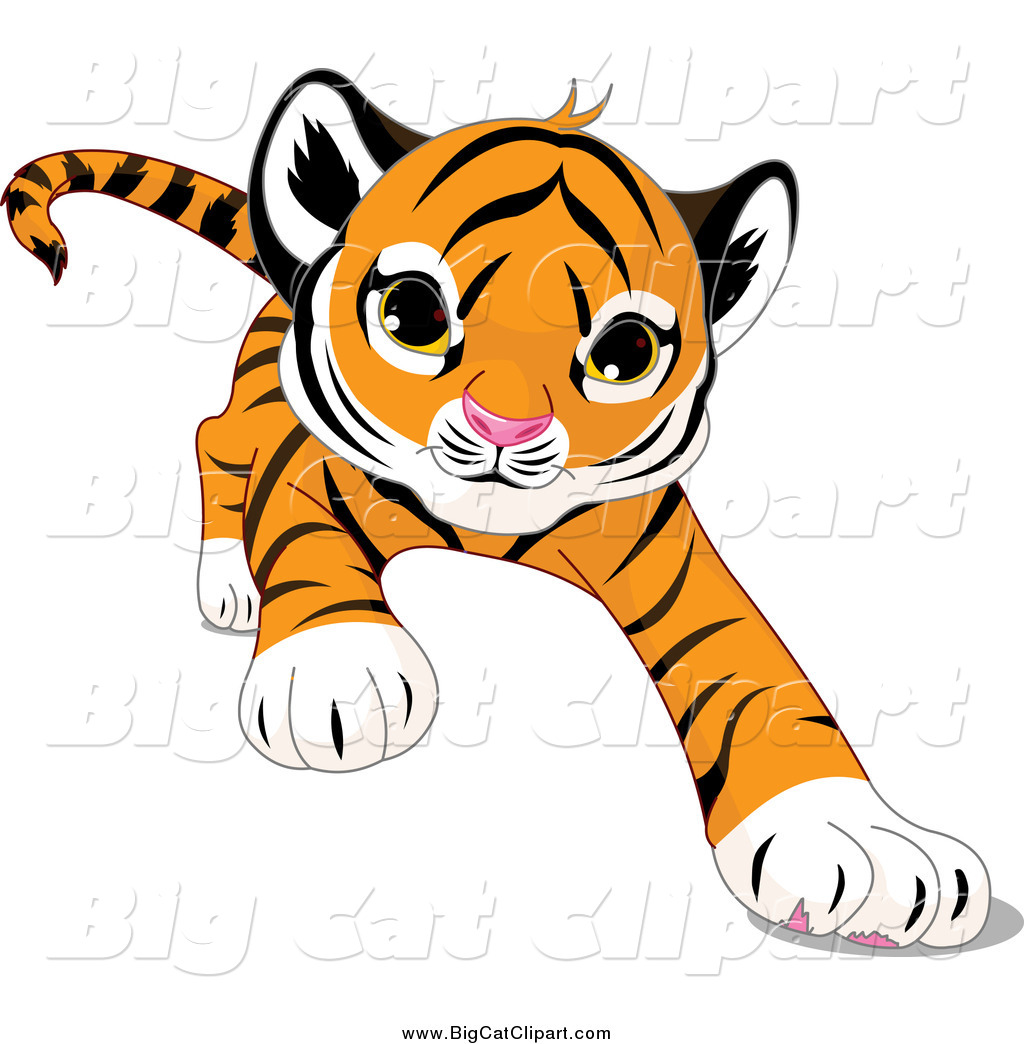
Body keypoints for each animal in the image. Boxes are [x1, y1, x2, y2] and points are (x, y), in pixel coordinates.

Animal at [6, 68, 990, 951]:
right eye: (413, 314)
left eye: (625, 352)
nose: (505, 426)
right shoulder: (306, 470)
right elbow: (307, 551)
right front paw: (337, 672)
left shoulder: (672, 555)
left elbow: (762, 679)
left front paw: (860, 842)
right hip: (254, 405)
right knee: (213, 437)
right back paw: (230, 586)